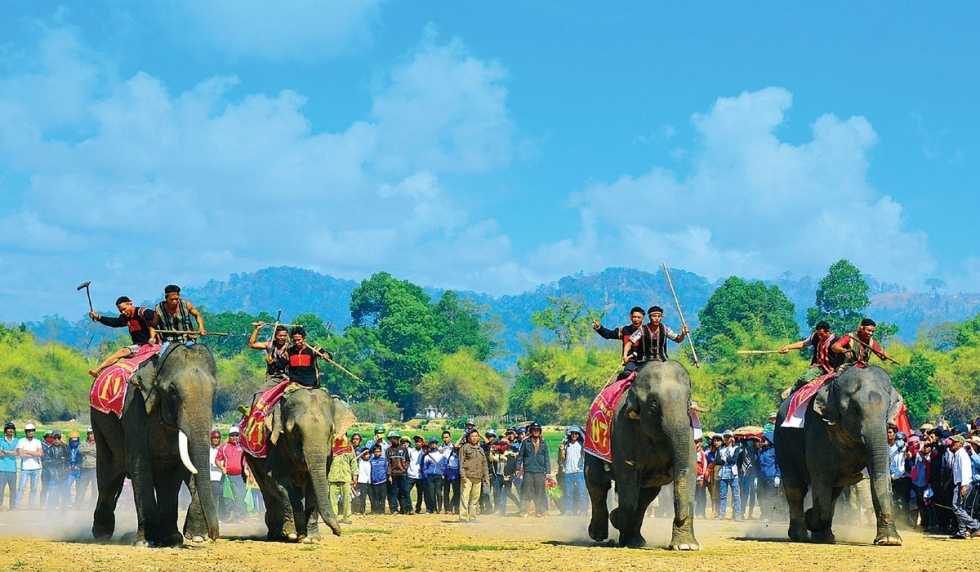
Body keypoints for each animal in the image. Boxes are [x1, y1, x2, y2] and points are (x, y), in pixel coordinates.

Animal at [91, 342, 220, 548]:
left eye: (214, 392)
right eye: (173, 391)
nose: (215, 535)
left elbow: (175, 472)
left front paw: (173, 539)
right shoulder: (134, 410)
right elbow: (140, 465)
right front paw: (146, 542)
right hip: (100, 427)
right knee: (108, 477)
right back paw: (102, 534)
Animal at [244, 384, 358, 540]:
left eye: (331, 430)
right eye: (296, 430)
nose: (338, 532)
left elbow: (315, 487)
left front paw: (311, 538)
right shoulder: (275, 445)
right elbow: (275, 481)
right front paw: (293, 533)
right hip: (252, 457)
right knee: (267, 491)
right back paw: (277, 533)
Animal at [584, 362, 700, 548]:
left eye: (689, 401)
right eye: (654, 403)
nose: (679, 518)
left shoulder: (689, 430)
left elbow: (689, 470)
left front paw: (686, 546)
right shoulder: (622, 428)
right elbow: (628, 473)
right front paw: (616, 517)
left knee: (647, 493)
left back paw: (634, 540)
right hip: (591, 440)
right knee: (597, 481)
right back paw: (599, 534)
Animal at [776, 364, 908, 548]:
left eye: (889, 406)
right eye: (854, 408)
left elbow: (880, 476)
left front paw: (889, 540)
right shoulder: (818, 431)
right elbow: (821, 479)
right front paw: (810, 516)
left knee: (834, 490)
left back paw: (824, 537)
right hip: (782, 443)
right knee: (795, 487)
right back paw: (800, 535)